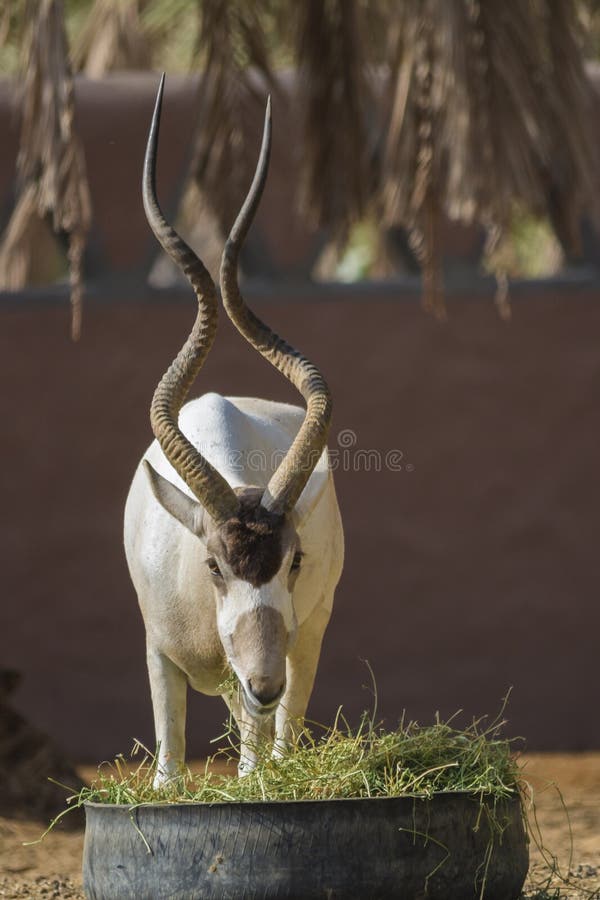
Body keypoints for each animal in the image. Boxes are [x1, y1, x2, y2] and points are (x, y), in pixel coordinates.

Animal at [124, 77, 344, 781]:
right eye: (213, 565)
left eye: (293, 558)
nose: (265, 686)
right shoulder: (157, 651)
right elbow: (168, 769)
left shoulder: (272, 659)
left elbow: (252, 767)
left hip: (303, 640)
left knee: (279, 735)